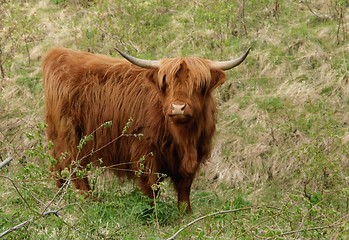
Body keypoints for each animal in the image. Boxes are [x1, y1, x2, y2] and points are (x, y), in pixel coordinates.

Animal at [42, 47, 249, 212]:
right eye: (167, 84)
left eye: (199, 85)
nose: (178, 108)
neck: (183, 138)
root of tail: (58, 53)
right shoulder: (145, 152)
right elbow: (151, 188)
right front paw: (152, 215)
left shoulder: (193, 156)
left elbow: (184, 189)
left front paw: (186, 215)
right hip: (69, 137)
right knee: (73, 168)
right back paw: (91, 203)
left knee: (58, 168)